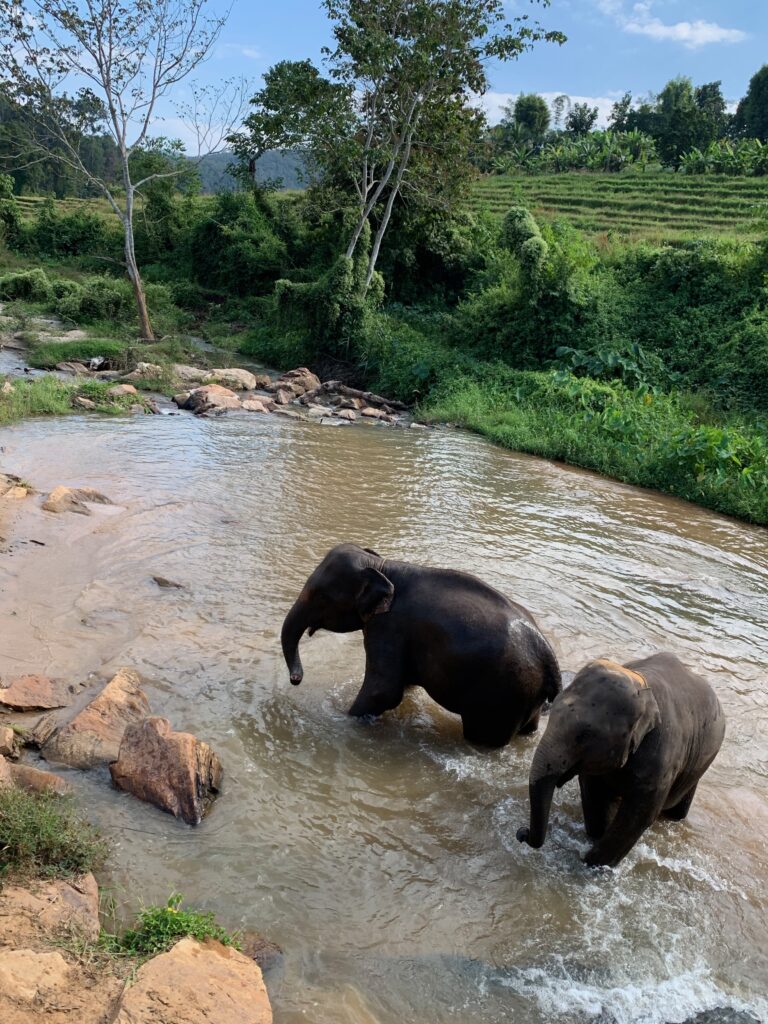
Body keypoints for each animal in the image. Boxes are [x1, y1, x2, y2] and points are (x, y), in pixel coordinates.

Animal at [280, 540, 561, 749]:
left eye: (321, 597)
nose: (295, 679)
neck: (383, 566)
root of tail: (548, 655)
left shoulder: (389, 628)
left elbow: (383, 691)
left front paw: (341, 719)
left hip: (502, 697)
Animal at [518, 655, 729, 864]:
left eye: (584, 735)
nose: (521, 833)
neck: (641, 684)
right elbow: (594, 795)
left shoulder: (662, 758)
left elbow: (638, 817)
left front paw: (590, 863)